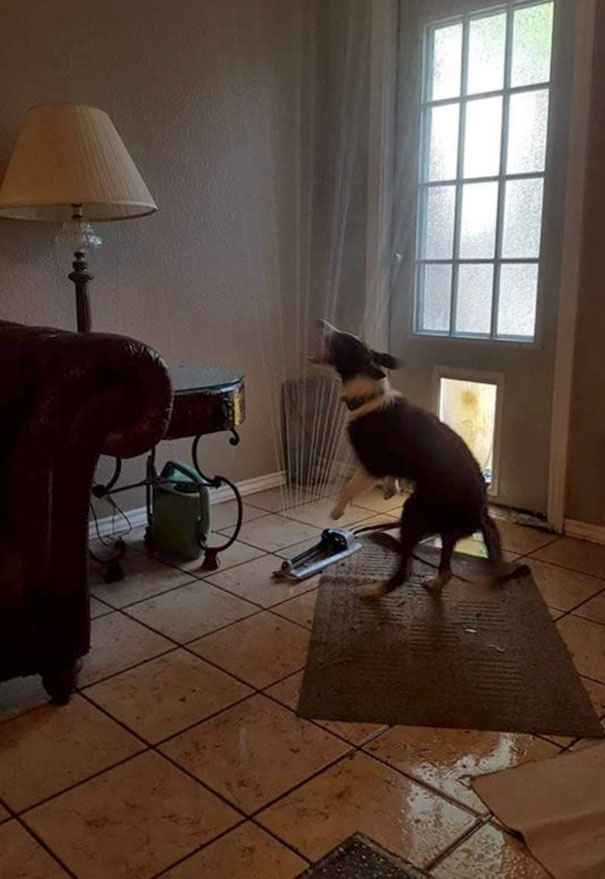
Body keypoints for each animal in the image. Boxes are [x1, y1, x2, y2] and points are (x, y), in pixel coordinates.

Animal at [312, 320, 520, 600]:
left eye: (342, 340)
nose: (320, 323)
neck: (367, 395)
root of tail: (480, 512)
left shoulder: (372, 463)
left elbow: (349, 486)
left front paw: (337, 511)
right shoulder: (390, 464)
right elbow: (391, 475)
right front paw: (390, 488)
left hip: (414, 512)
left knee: (405, 571)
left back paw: (375, 590)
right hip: (446, 530)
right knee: (446, 569)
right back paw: (434, 583)